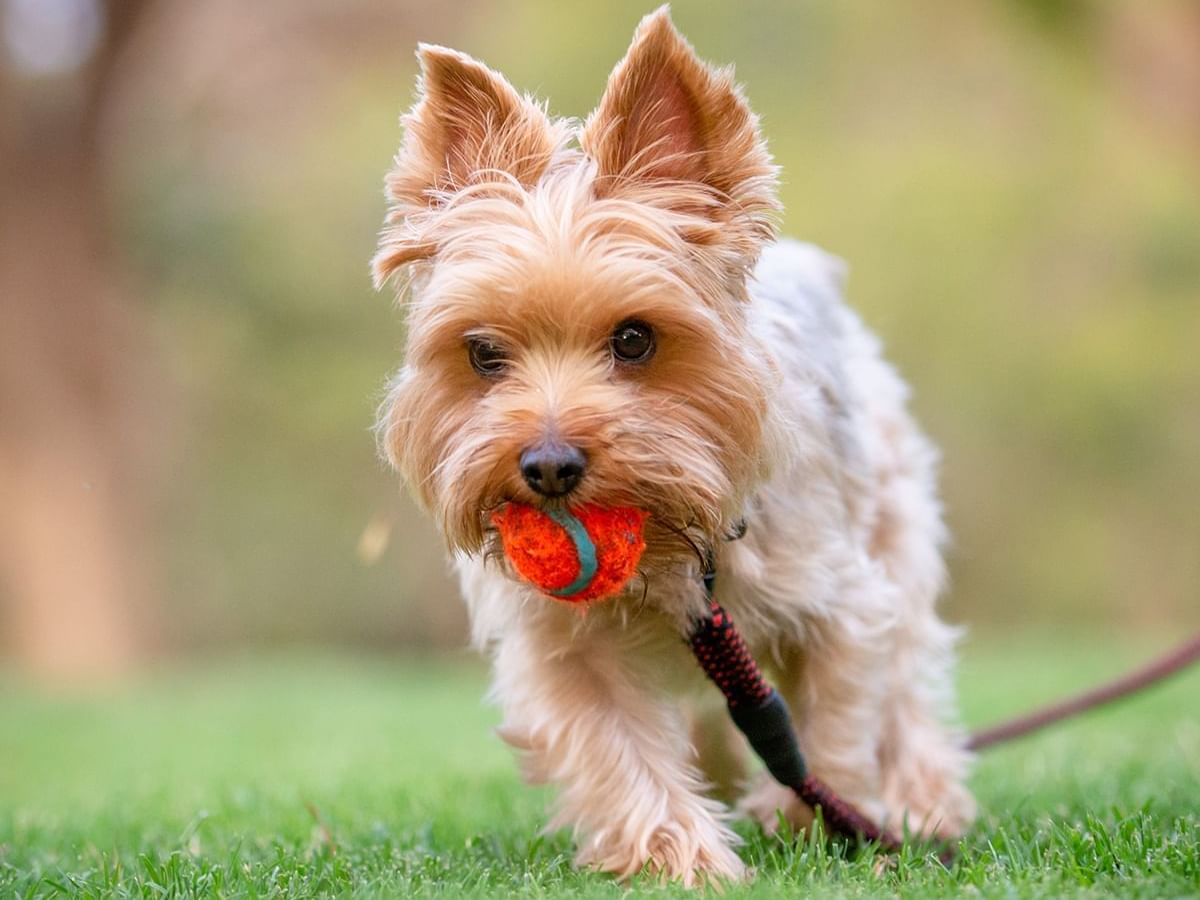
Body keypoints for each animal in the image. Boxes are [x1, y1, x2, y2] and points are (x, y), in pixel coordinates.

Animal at [372, 5, 974, 888]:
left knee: (906, 680)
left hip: (893, 519)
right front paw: (676, 855)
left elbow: (836, 717)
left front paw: (809, 811)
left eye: (635, 339)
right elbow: (614, 745)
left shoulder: (838, 598)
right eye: (483, 353)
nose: (547, 466)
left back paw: (923, 802)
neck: (668, 544)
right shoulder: (563, 645)